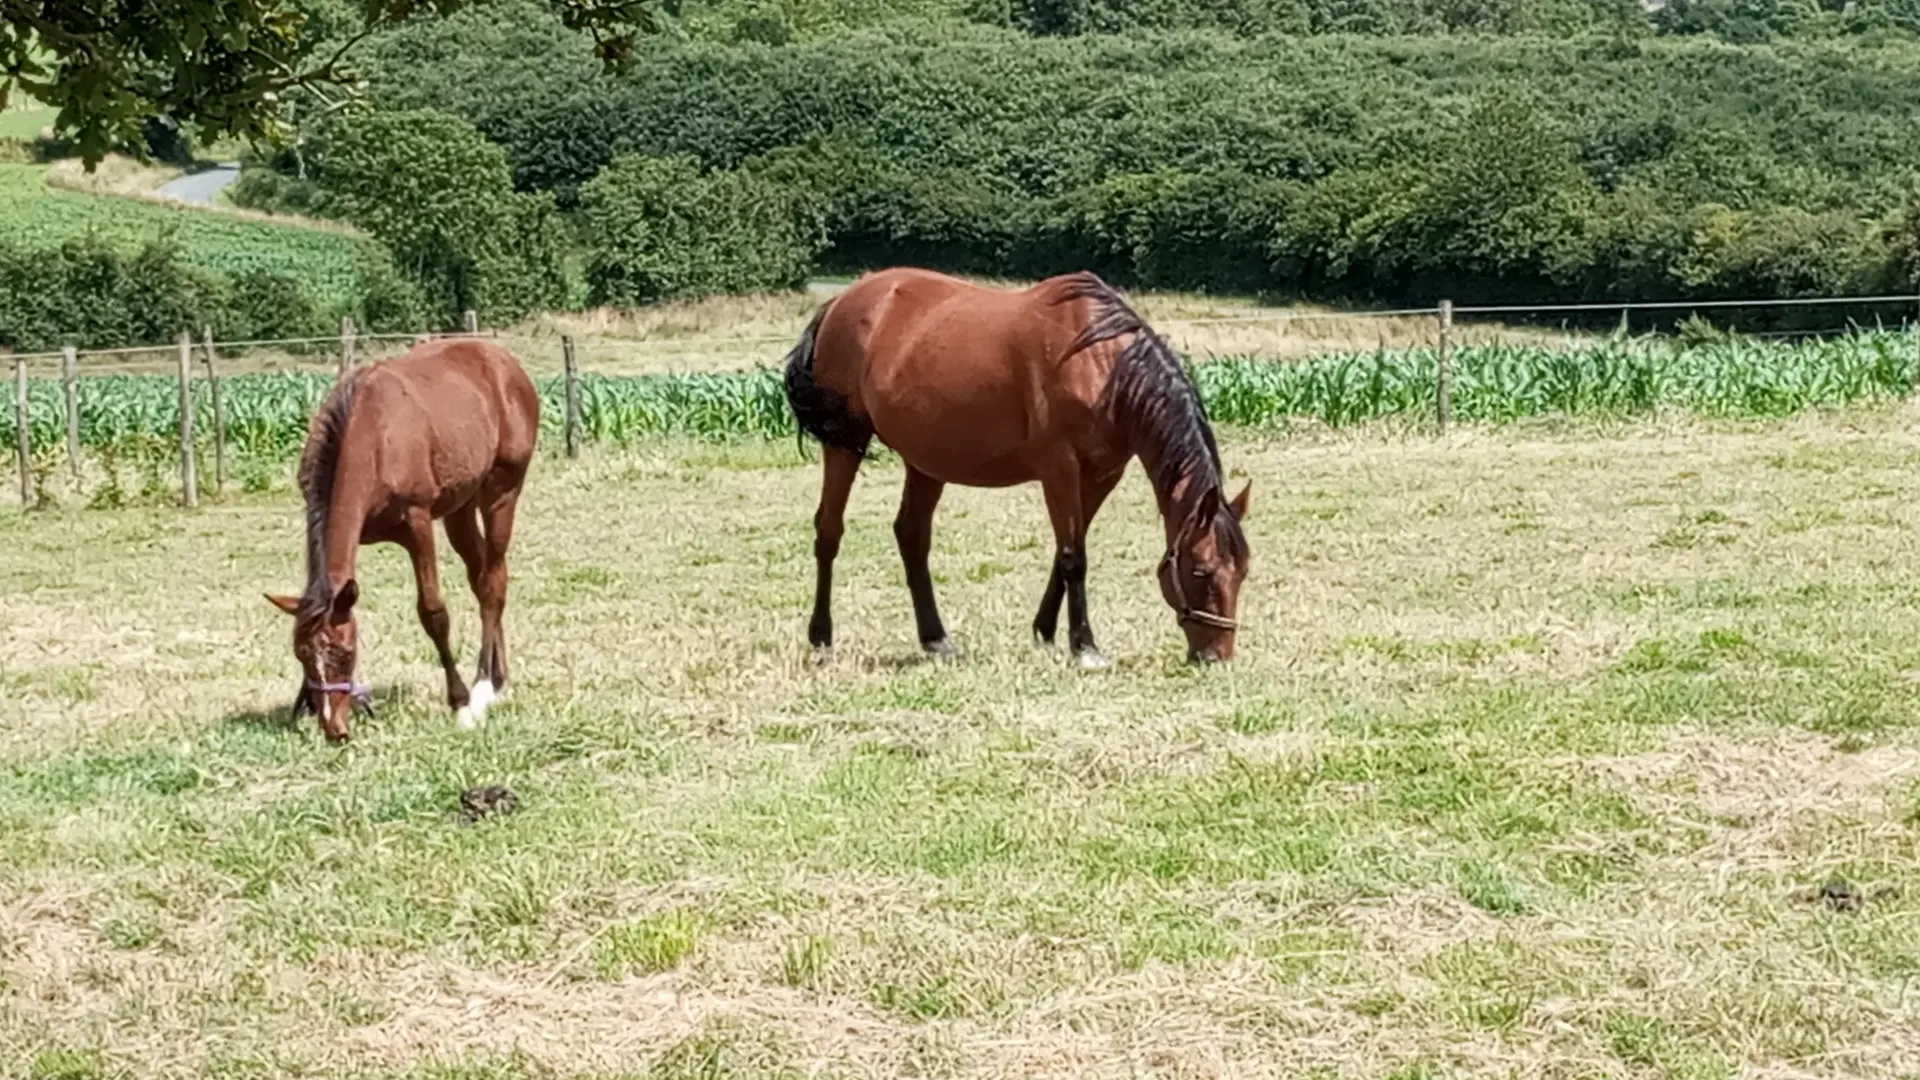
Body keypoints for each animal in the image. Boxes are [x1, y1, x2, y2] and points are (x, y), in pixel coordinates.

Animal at [266, 336, 537, 737]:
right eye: (301, 655)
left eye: (345, 653)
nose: (335, 729)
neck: (372, 437)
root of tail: (505, 362)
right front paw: (304, 706)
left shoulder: (417, 525)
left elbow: (433, 613)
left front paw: (459, 703)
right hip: (460, 507)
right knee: (482, 576)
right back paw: (499, 680)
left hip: (502, 492)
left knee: (493, 583)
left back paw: (483, 687)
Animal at [783, 267, 1251, 664]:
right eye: (1201, 571)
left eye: (1243, 571)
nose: (1217, 656)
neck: (1102, 366)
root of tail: (842, 300)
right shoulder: (1059, 467)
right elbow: (1074, 556)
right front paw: (1085, 647)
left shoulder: (1102, 475)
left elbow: (1066, 551)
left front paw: (1045, 630)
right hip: (846, 444)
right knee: (829, 532)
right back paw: (822, 639)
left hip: (926, 460)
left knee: (911, 535)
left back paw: (936, 639)